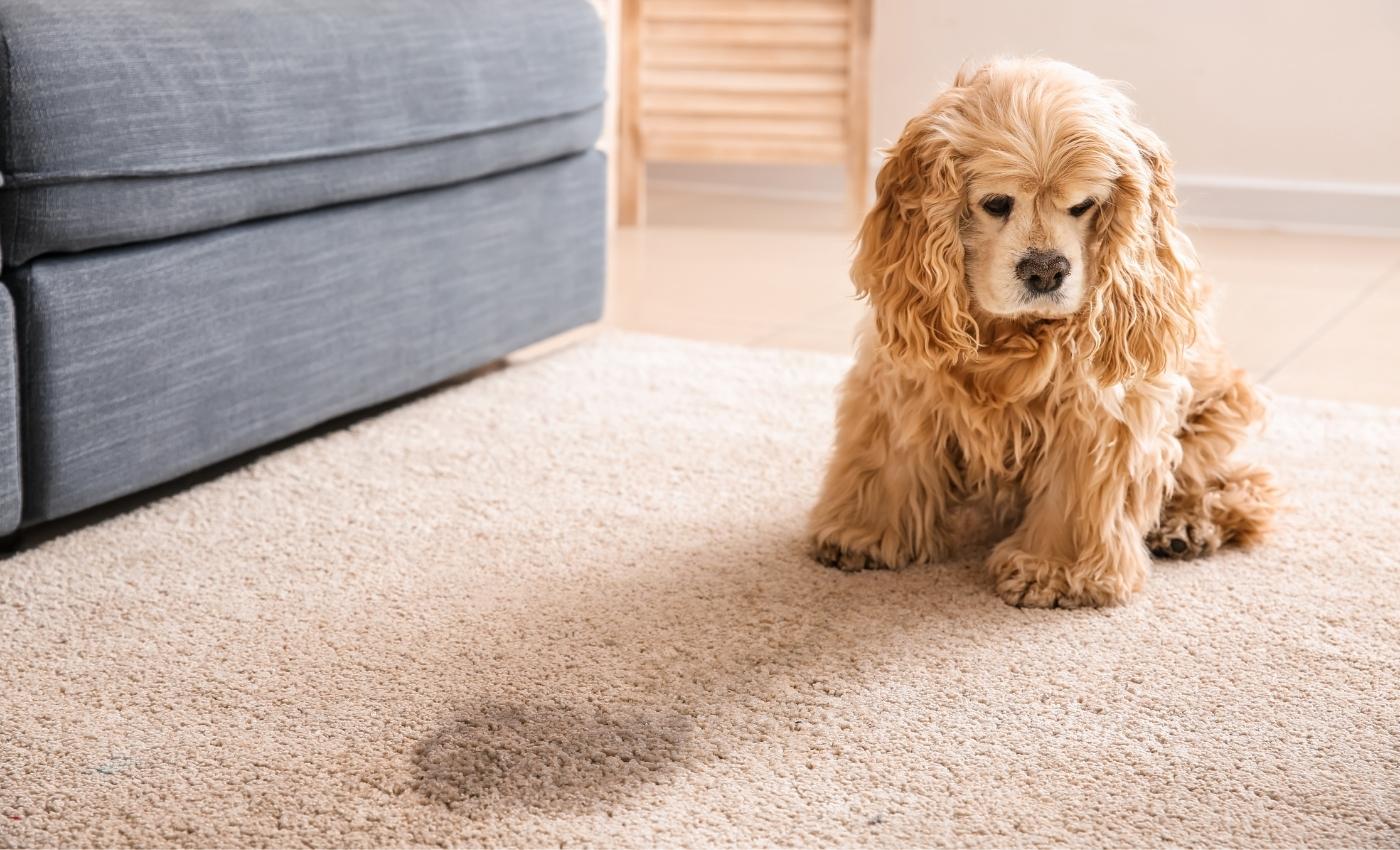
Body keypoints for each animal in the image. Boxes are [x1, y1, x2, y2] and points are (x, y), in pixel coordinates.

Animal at [812, 58, 1282, 604]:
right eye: (996, 203)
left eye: (1083, 205)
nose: (1044, 271)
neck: (1008, 336)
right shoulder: (905, 377)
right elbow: (888, 458)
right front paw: (862, 532)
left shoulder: (1099, 411)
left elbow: (1076, 491)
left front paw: (1055, 570)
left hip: (1217, 413)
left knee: (1244, 485)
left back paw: (1184, 528)